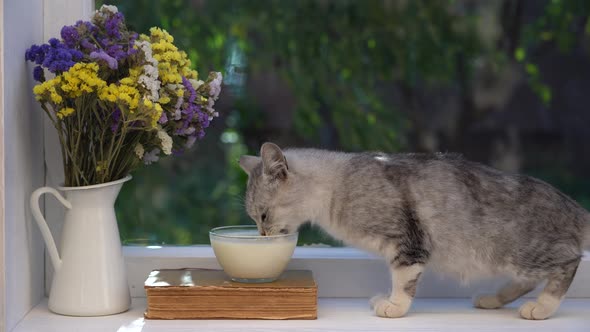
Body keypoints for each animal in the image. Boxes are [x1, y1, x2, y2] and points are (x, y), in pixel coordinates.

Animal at [238, 142, 588, 320]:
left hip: (524, 251)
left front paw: (393, 306)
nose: (262, 236)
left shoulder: (406, 243)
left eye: (263, 215)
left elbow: (403, 281)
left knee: (567, 264)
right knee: (528, 280)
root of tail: (572, 206)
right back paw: (494, 299)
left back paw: (541, 308)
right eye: (254, 219)